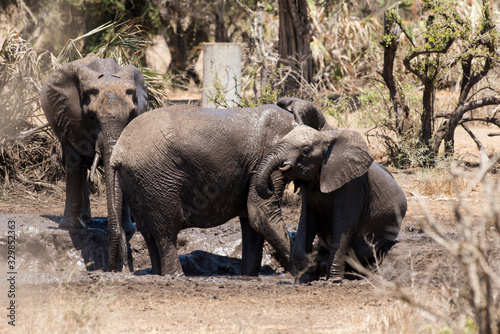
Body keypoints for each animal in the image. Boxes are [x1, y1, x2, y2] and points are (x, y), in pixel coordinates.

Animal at [40, 52, 148, 272]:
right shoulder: (70, 116)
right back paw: (84, 219)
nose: (116, 266)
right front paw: (70, 227)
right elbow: (73, 159)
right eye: (90, 116)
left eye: (132, 115)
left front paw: (128, 229)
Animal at [109, 103, 328, 274]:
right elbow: (261, 212)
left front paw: (249, 276)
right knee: (166, 230)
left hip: (136, 180)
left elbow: (252, 221)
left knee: (148, 233)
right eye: (308, 151)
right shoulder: (268, 156)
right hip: (157, 178)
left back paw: (157, 274)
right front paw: (304, 270)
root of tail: (118, 153)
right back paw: (177, 276)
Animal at [254, 98, 406, 284]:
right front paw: (304, 278)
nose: (270, 186)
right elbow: (307, 221)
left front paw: (333, 281)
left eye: (305, 151)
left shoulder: (351, 185)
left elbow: (342, 226)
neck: (326, 140)